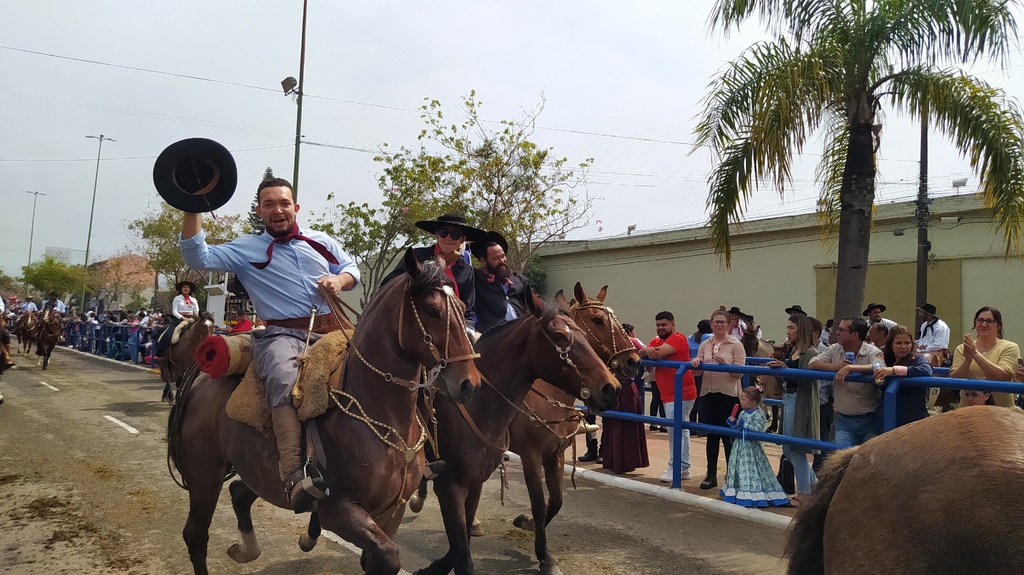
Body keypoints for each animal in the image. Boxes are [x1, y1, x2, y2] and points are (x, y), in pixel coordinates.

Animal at [168, 252, 483, 572]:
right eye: (432, 310)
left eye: (462, 308)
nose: (469, 384)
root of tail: (198, 379)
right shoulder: (338, 510)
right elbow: (388, 555)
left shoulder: (392, 511)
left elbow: (377, 559)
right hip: (205, 475)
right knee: (196, 535)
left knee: (239, 493)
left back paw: (246, 549)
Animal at [405, 294, 614, 572]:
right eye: (559, 336)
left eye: (582, 333)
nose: (611, 386)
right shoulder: (527, 457)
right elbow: (538, 504)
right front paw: (543, 552)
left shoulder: (554, 455)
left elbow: (555, 501)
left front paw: (533, 533)